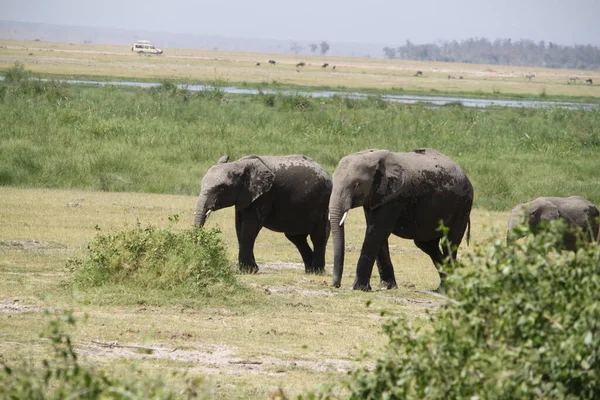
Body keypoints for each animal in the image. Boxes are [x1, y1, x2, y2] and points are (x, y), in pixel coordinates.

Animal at [193, 155, 330, 274]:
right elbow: (239, 226)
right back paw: (310, 270)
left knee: (318, 236)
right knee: (296, 238)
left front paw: (248, 271)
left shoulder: (265, 195)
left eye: (221, 189)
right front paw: (251, 270)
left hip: (322, 202)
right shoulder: (245, 196)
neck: (239, 164)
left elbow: (250, 227)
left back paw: (317, 271)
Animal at [328, 148, 474, 292]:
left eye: (356, 185)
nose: (336, 285)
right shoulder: (376, 197)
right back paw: (441, 288)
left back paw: (448, 289)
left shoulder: (394, 197)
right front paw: (387, 286)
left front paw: (358, 288)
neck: (374, 158)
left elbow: (376, 232)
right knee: (427, 245)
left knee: (449, 243)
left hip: (463, 205)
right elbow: (377, 233)